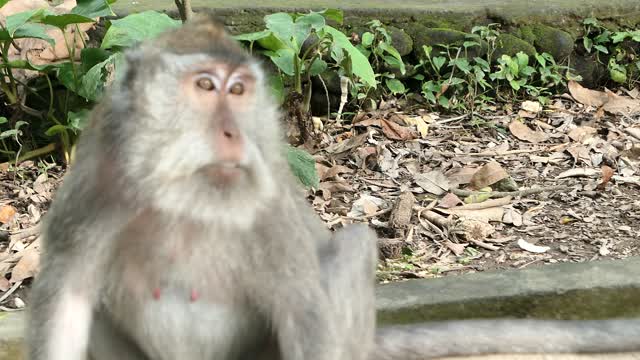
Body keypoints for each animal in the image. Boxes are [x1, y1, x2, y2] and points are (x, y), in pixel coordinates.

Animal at [27, 14, 640, 360]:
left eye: (239, 90)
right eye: (205, 87)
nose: (232, 133)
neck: (184, 198)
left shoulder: (271, 210)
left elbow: (305, 313)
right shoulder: (90, 190)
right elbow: (66, 300)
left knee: (351, 246)